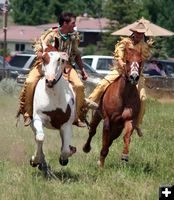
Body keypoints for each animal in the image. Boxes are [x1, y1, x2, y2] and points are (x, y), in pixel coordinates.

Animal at [29, 44, 76, 172]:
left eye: (60, 60)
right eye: (43, 58)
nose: (50, 80)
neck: (53, 96)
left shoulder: (66, 124)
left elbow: (65, 149)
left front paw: (65, 158)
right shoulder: (38, 119)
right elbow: (40, 138)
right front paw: (34, 160)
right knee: (37, 138)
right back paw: (40, 162)